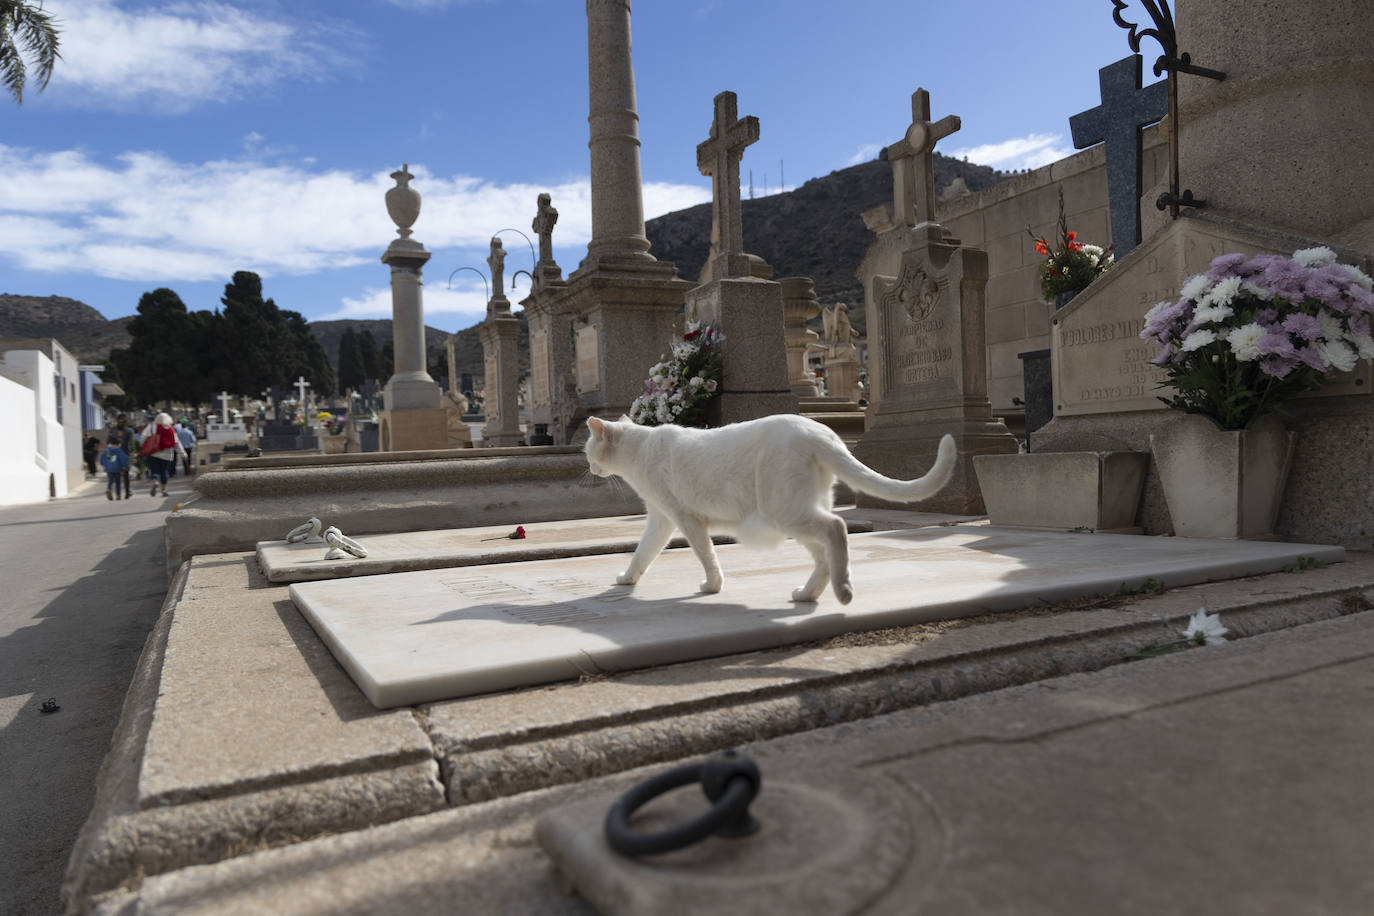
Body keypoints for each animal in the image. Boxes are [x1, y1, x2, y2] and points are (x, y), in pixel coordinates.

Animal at [582, 414, 956, 601]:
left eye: (588, 451)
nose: (589, 467)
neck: (639, 450)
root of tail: (819, 430)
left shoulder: (685, 518)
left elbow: (705, 555)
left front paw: (712, 587)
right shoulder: (660, 519)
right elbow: (642, 554)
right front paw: (627, 580)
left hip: (785, 512)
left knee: (837, 527)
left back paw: (843, 591)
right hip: (796, 513)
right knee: (825, 552)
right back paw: (807, 594)